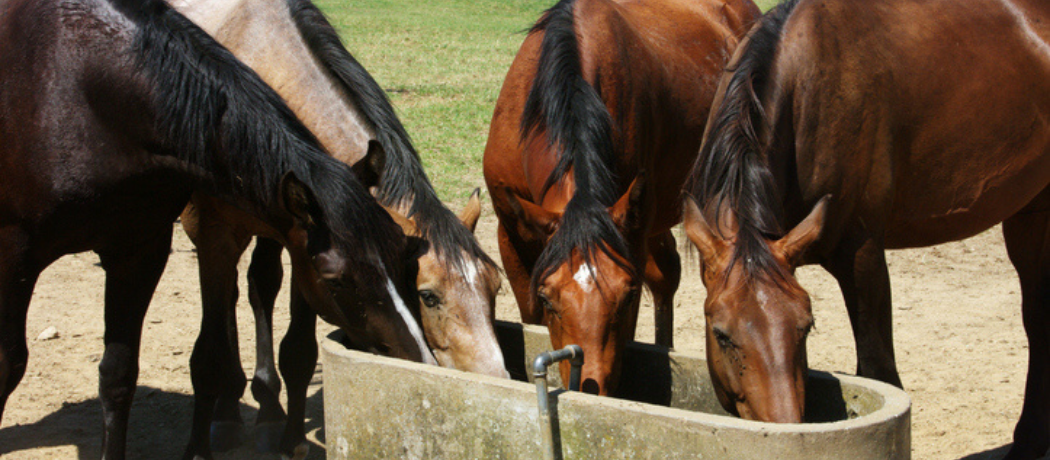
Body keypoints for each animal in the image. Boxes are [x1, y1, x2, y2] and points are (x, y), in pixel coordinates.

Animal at [0, 0, 435, 459]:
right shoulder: (14, 255)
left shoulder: (140, 251)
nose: (415, 359)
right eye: (337, 280)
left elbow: (119, 375)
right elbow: (9, 366)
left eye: (403, 256)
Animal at [170, 0, 506, 455]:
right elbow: (211, 345)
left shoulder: (306, 245)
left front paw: (292, 439)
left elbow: (298, 351)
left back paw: (268, 405)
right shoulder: (213, 234)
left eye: (496, 287)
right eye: (428, 296)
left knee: (261, 286)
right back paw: (229, 407)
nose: (497, 379)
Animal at [484, 0, 759, 396]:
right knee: (666, 276)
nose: (590, 385)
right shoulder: (511, 233)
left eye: (627, 296)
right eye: (548, 297)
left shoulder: (632, 240)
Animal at [682, 0, 1050, 456]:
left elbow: (877, 369)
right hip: (1028, 210)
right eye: (722, 334)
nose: (785, 428)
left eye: (807, 326)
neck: (805, 84)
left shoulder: (863, 255)